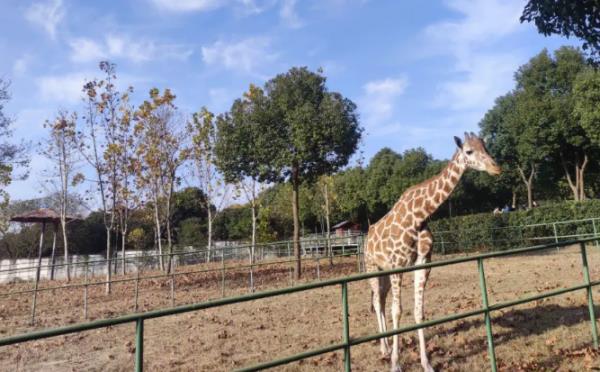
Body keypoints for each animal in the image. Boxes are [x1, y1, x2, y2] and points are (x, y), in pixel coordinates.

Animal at [366, 132, 502, 370]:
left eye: (485, 147)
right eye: (469, 151)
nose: (496, 168)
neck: (419, 216)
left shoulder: (422, 263)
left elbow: (419, 311)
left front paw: (426, 363)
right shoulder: (398, 265)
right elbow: (397, 310)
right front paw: (396, 364)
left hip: (383, 271)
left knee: (380, 301)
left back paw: (387, 346)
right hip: (372, 267)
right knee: (378, 303)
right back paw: (385, 349)